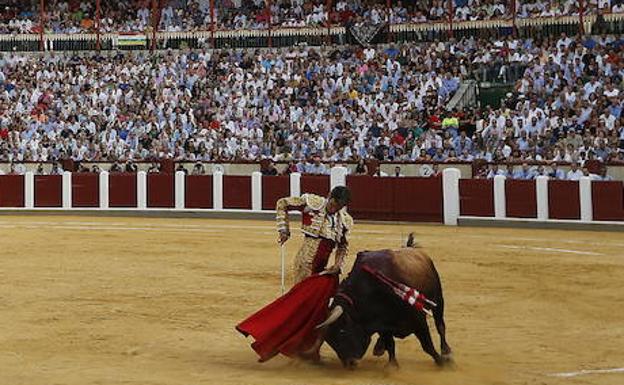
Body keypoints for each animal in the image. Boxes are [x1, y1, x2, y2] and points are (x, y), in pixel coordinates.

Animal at [314, 232, 450, 368]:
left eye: (342, 331)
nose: (350, 362)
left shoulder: (418, 320)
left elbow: (427, 345)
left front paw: (441, 361)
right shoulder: (383, 324)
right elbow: (390, 344)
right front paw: (392, 365)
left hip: (438, 300)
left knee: (440, 326)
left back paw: (446, 352)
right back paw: (379, 347)